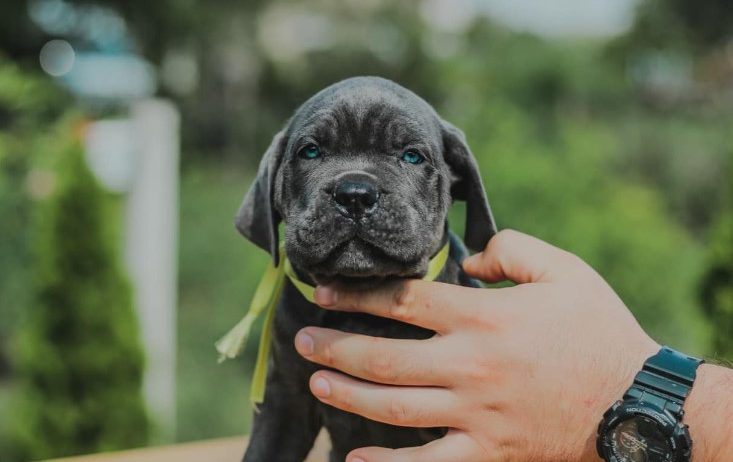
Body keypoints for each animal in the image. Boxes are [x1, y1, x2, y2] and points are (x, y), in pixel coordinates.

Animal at [234, 76, 498, 462]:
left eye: (412, 155)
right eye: (310, 151)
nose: (355, 194)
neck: (361, 304)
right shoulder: (286, 401)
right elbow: (265, 451)